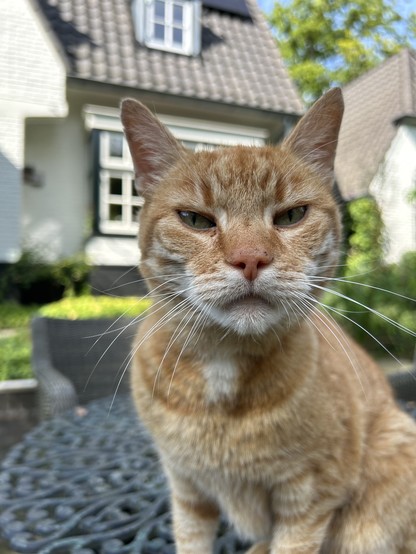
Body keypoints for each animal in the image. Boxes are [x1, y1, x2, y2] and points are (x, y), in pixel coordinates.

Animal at [120, 90, 416, 552]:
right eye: (195, 220)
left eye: (291, 216)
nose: (250, 258)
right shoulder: (187, 489)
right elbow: (191, 538)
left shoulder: (310, 498)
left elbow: (291, 543)